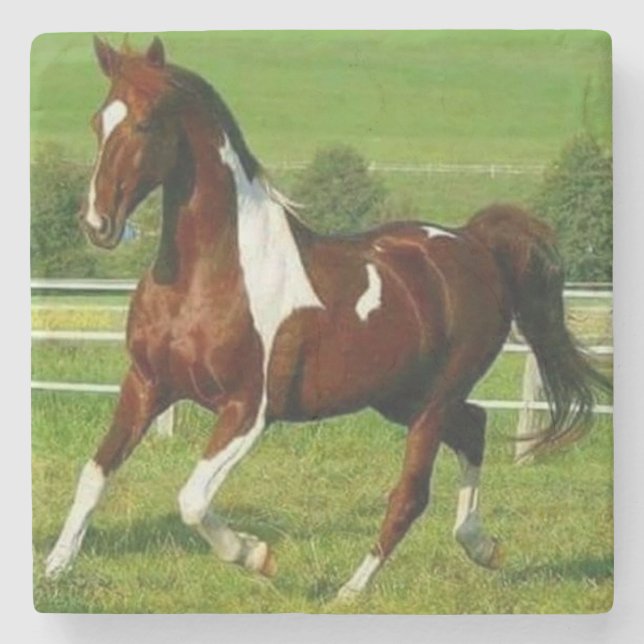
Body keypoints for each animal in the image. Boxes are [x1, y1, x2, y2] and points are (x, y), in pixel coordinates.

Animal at [45, 37, 611, 600]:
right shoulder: (146, 383)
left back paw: (350, 592)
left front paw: (258, 555)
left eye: (144, 123)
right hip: (399, 396)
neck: (212, 274)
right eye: (98, 121)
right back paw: (483, 547)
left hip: (433, 402)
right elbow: (94, 475)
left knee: (410, 494)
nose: (97, 224)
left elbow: (192, 500)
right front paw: (55, 570)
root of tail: (475, 243)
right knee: (474, 426)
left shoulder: (248, 409)